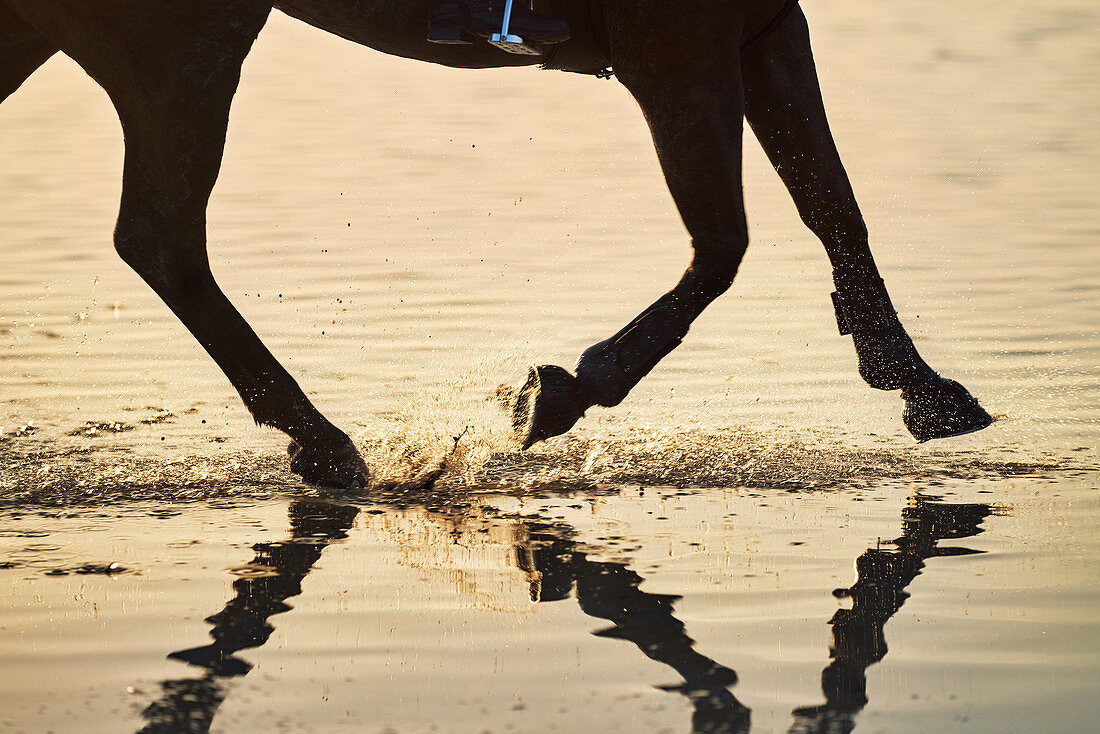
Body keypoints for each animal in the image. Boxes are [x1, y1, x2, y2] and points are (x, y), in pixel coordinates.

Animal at [0, 2, 994, 490]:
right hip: (179, 46)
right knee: (162, 238)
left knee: (160, 241)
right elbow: (723, 246)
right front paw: (554, 395)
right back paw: (326, 446)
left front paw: (919, 383)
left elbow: (833, 206)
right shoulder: (676, 52)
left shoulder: (763, 26)